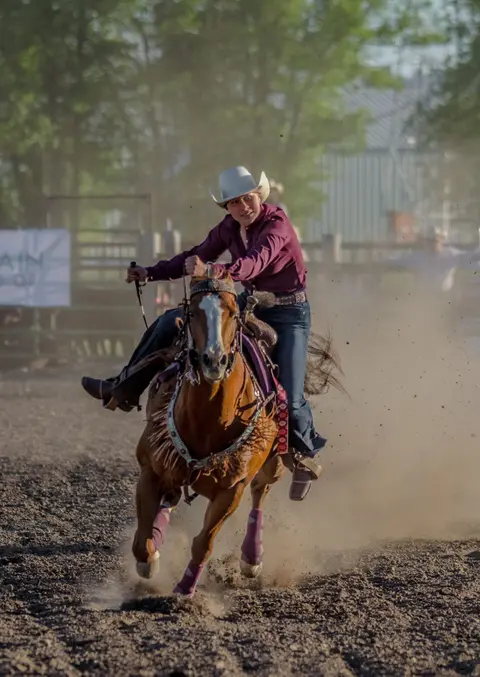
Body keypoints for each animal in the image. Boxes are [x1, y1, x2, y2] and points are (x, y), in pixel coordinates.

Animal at [131, 273, 344, 597]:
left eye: (231, 313)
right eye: (192, 313)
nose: (213, 360)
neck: (208, 420)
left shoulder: (232, 489)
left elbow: (204, 543)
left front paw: (185, 590)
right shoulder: (150, 468)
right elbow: (142, 542)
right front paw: (151, 558)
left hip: (273, 463)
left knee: (260, 493)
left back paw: (251, 558)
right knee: (172, 496)